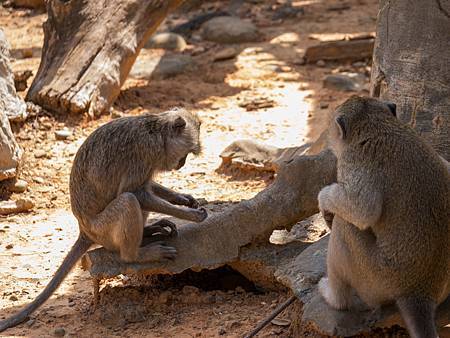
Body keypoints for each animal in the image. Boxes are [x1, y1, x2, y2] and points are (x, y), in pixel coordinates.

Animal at [0, 108, 207, 332]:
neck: (157, 130)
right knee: (128, 201)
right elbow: (136, 192)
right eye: (186, 153)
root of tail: (84, 230)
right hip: (102, 229)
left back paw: (147, 233)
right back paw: (136, 254)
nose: (182, 163)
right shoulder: (146, 152)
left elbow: (147, 188)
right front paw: (191, 215)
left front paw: (183, 199)